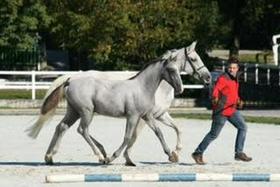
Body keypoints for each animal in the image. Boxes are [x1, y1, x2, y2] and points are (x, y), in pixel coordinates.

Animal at [26, 50, 184, 164]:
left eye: (178, 69)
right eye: (171, 70)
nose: (180, 89)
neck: (142, 87)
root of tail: (70, 80)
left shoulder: (147, 115)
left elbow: (159, 133)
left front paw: (172, 155)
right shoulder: (133, 116)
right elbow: (127, 137)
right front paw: (112, 157)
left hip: (74, 111)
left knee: (62, 127)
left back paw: (49, 157)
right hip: (86, 112)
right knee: (82, 130)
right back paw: (101, 156)